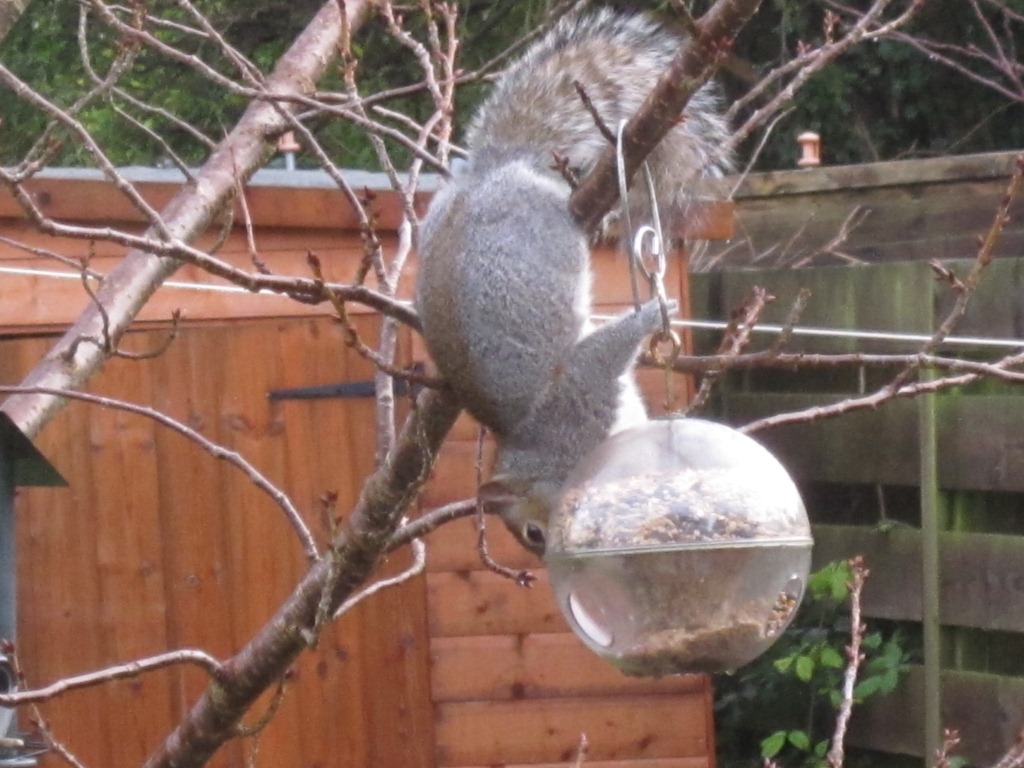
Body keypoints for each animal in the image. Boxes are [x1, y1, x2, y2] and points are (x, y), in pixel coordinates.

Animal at [415, 8, 732, 556]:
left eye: (534, 532)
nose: (548, 558)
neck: (541, 445)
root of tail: (494, 170)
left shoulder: (581, 394)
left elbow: (605, 353)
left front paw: (648, 316)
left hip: (546, 225)